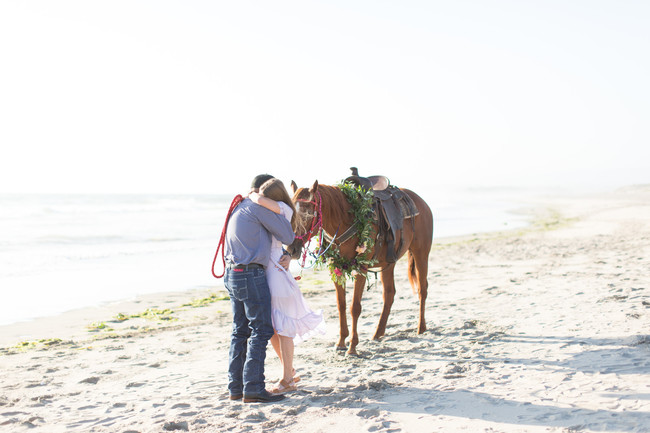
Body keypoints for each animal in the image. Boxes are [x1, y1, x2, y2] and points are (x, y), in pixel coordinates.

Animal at [288, 179, 430, 354]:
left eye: (307, 215)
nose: (291, 248)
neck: (345, 218)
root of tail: (420, 202)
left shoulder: (361, 268)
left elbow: (354, 307)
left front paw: (353, 346)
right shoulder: (336, 267)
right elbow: (341, 305)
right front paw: (341, 341)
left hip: (421, 253)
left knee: (422, 289)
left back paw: (421, 327)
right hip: (389, 263)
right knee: (389, 294)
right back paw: (378, 332)